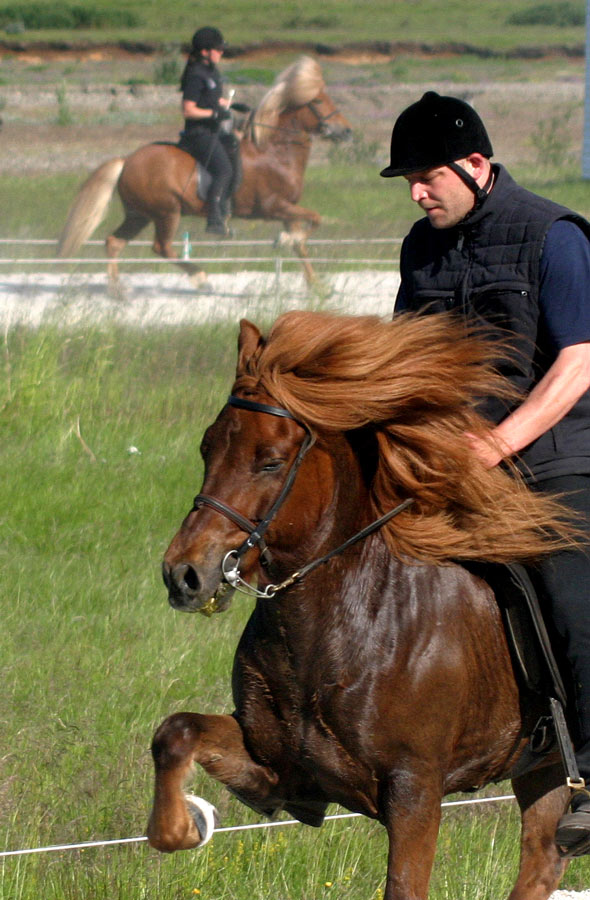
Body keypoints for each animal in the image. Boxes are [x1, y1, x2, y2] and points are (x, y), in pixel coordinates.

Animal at [55, 58, 352, 288]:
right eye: (318, 101)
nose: (346, 131)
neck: (273, 151)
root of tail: (127, 160)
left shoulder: (287, 210)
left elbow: (301, 244)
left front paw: (316, 286)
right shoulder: (273, 207)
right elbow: (315, 220)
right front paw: (283, 241)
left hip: (139, 214)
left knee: (114, 242)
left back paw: (117, 291)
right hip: (166, 212)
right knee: (161, 247)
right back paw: (200, 278)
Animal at [149, 312, 584, 900]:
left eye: (270, 462)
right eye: (206, 449)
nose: (184, 574)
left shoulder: (415, 791)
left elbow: (404, 885)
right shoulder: (276, 768)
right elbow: (176, 732)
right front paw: (185, 825)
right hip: (543, 768)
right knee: (542, 859)